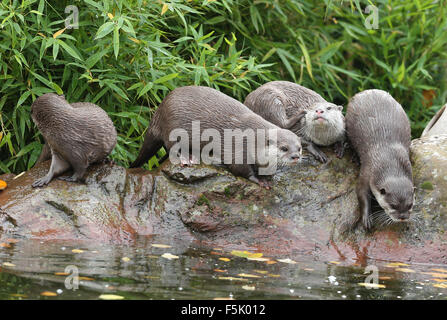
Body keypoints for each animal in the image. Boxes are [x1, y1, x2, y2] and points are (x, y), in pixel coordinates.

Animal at [130, 85, 304, 186]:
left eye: (300, 148)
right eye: (284, 148)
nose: (296, 156)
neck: (253, 138)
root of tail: (160, 109)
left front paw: (267, 177)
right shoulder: (237, 148)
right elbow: (240, 168)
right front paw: (259, 181)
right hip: (173, 126)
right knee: (170, 146)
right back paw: (187, 157)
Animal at [346, 90, 416, 230]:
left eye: (410, 205)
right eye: (393, 205)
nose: (403, 217)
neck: (389, 158)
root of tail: (366, 91)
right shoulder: (367, 171)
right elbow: (361, 192)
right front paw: (367, 218)